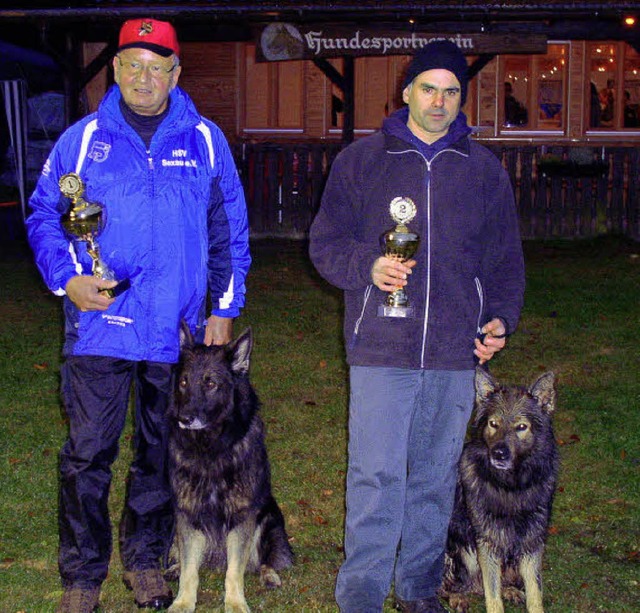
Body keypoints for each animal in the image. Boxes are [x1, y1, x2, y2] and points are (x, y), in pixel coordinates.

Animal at [166, 326, 294, 612]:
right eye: (183, 383)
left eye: (210, 384)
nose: (183, 419)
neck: (210, 449)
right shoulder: (187, 512)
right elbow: (190, 569)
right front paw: (183, 601)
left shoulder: (242, 517)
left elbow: (235, 570)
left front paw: (235, 603)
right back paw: (174, 565)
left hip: (269, 519)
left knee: (265, 559)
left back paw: (269, 574)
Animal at [440, 368, 560, 612]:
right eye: (493, 424)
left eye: (521, 427)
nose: (498, 454)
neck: (512, 485)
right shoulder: (486, 541)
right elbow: (493, 594)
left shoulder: (532, 539)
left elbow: (534, 591)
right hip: (462, 550)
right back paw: (457, 595)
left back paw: (510, 590)